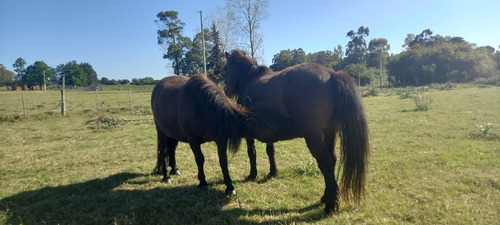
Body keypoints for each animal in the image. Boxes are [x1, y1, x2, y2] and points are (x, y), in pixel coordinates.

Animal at [225, 49, 370, 214]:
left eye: (226, 68)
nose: (225, 90)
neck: (250, 80)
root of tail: (332, 75)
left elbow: (252, 153)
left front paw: (252, 174)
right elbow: (270, 151)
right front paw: (272, 172)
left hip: (313, 136)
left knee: (325, 162)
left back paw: (330, 205)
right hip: (330, 132)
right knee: (332, 160)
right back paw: (326, 197)